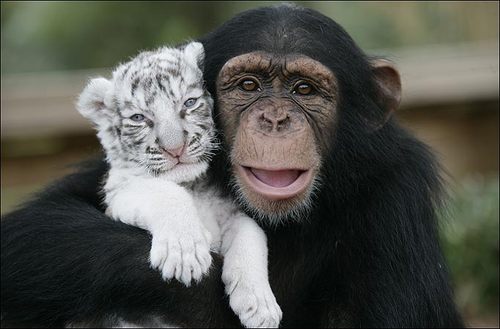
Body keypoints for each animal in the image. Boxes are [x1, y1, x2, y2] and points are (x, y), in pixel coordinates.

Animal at [1, 3, 464, 326]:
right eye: (249, 85)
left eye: (304, 89)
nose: (275, 119)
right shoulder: (115, 183)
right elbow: (34, 229)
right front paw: (187, 253)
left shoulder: (397, 194)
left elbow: (248, 233)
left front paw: (254, 296)